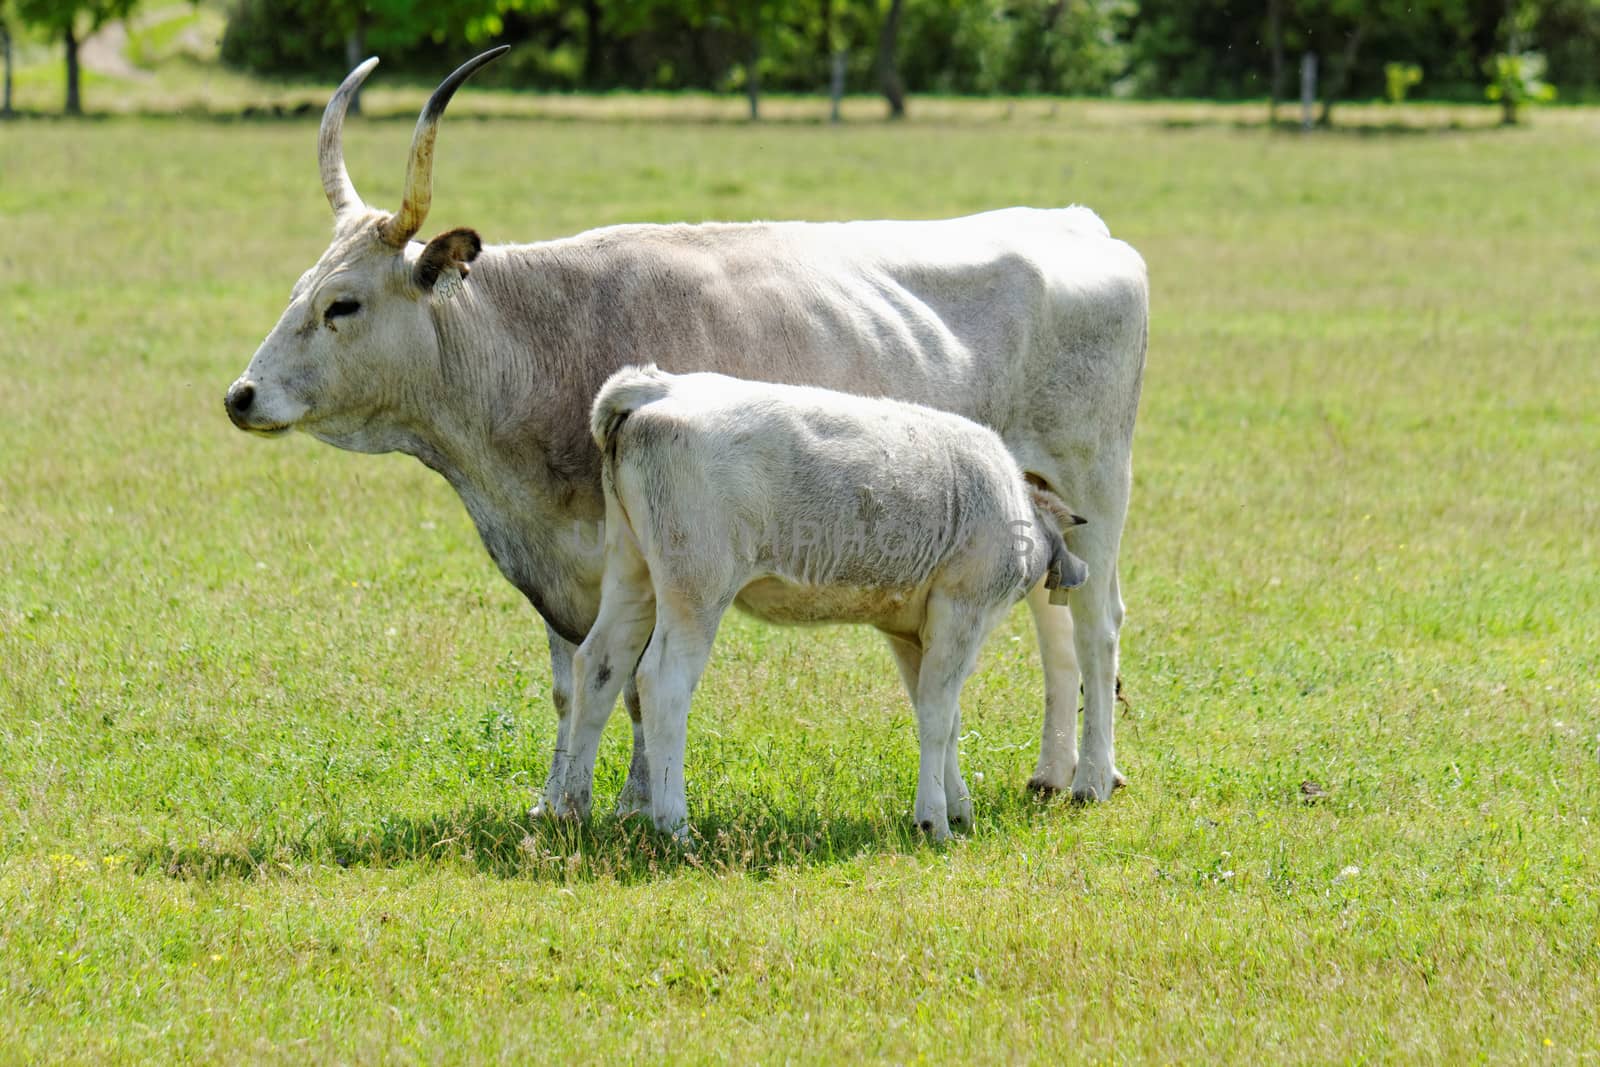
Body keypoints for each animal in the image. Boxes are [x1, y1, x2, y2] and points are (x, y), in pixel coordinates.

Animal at [228, 49, 1152, 812]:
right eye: (299, 288)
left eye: (342, 304)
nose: (241, 395)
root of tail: (1077, 223)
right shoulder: (572, 563)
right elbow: (581, 680)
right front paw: (563, 800)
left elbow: (638, 684)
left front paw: (635, 802)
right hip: (1033, 499)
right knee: (1054, 625)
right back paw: (1051, 771)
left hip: (1097, 483)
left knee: (1097, 621)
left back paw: (1093, 777)